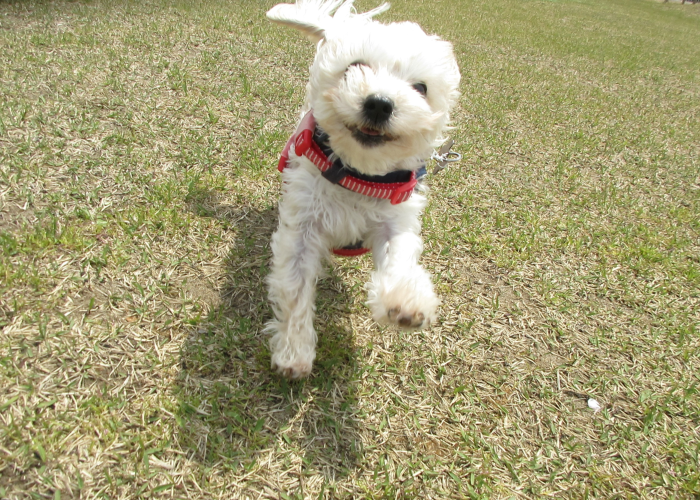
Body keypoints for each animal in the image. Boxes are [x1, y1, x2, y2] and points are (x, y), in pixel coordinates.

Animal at [265, 0, 461, 379]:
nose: (380, 103)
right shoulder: (303, 225)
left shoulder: (395, 218)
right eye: (354, 67)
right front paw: (294, 351)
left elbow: (400, 256)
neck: (358, 174)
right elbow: (295, 286)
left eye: (421, 87)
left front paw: (404, 301)